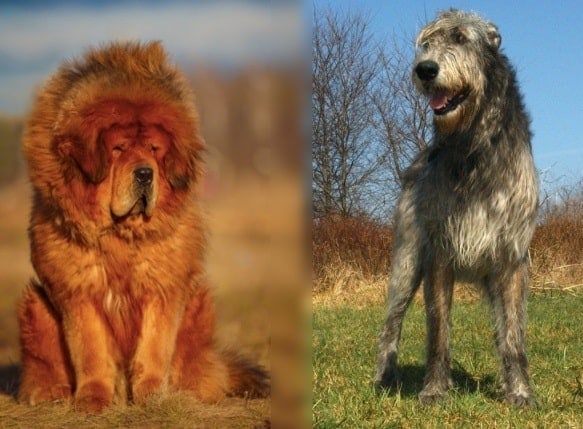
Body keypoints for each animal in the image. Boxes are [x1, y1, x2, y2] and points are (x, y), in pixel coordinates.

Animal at [376, 8, 540, 406]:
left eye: (462, 39)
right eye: (426, 44)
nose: (425, 69)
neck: (473, 145)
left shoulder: (512, 257)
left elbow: (513, 335)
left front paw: (520, 391)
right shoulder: (439, 253)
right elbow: (438, 331)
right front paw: (435, 390)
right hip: (406, 261)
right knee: (391, 323)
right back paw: (384, 377)